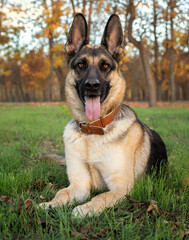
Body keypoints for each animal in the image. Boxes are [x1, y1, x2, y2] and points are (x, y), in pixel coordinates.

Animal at [38, 14, 167, 218]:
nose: (92, 85)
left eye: (105, 66)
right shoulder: (79, 184)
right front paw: (50, 204)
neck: (92, 131)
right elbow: (62, 192)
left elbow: (100, 196)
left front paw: (84, 209)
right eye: (81, 65)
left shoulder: (121, 188)